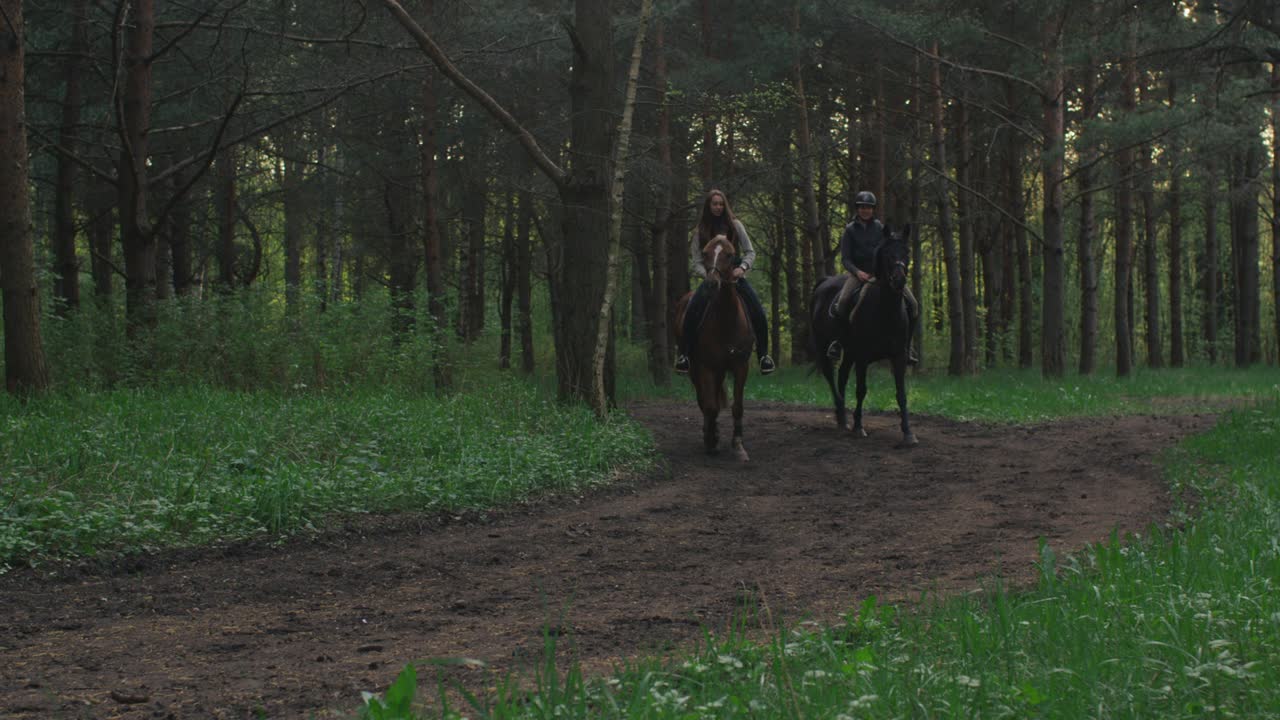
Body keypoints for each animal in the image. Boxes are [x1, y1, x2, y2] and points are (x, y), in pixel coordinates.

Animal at [673, 234, 754, 460]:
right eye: (706, 252)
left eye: (730, 255)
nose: (711, 283)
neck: (726, 320)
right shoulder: (706, 367)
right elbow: (709, 406)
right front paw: (711, 440)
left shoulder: (740, 366)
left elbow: (737, 406)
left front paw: (738, 446)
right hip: (696, 369)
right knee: (704, 401)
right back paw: (710, 434)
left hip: (720, 371)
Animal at [809, 223, 918, 448]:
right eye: (887, 254)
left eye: (906, 252)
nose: (900, 280)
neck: (885, 311)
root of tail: (825, 282)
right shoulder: (862, 357)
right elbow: (861, 390)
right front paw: (859, 427)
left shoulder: (898, 357)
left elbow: (901, 394)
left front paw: (908, 432)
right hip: (825, 347)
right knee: (831, 377)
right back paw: (841, 415)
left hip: (849, 353)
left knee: (841, 377)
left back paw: (843, 419)